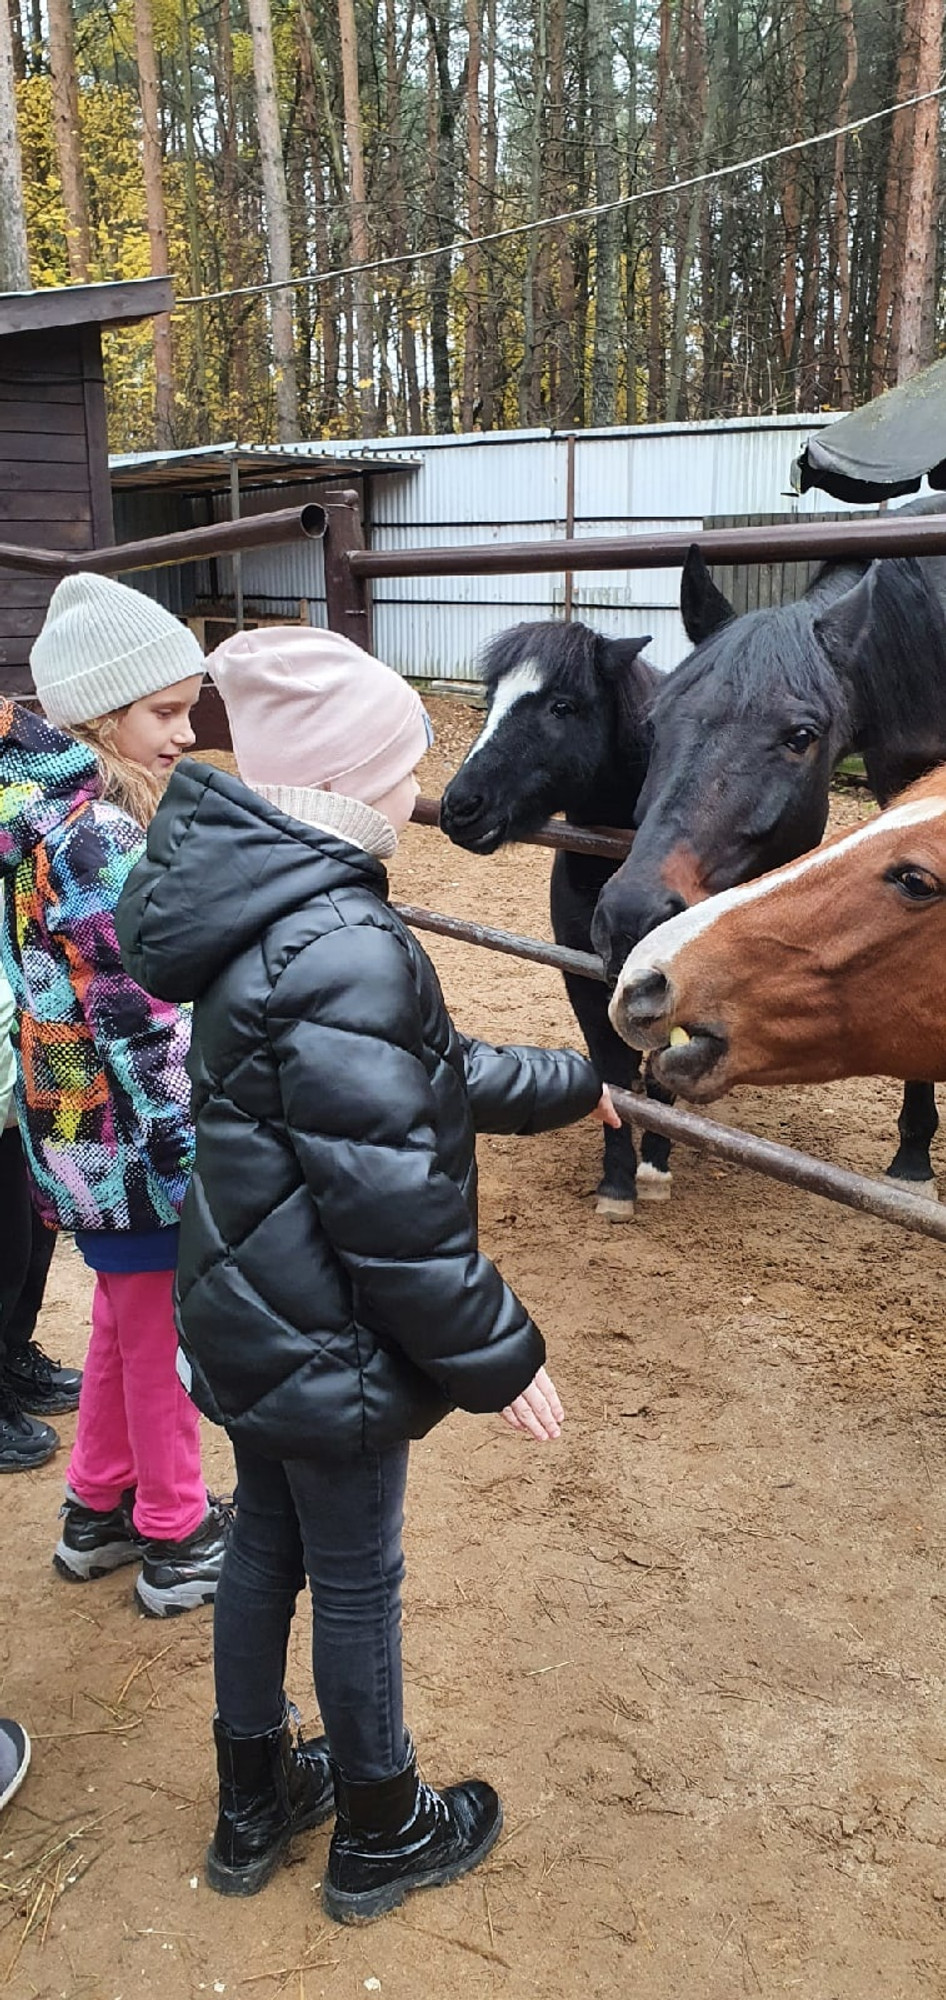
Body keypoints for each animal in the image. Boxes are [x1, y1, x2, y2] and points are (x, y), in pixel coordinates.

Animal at [438, 616, 668, 1216]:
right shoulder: (581, 973)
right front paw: (617, 1183)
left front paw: (655, 1167)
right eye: (491, 699)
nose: (460, 807)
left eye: (562, 706)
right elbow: (611, 1072)